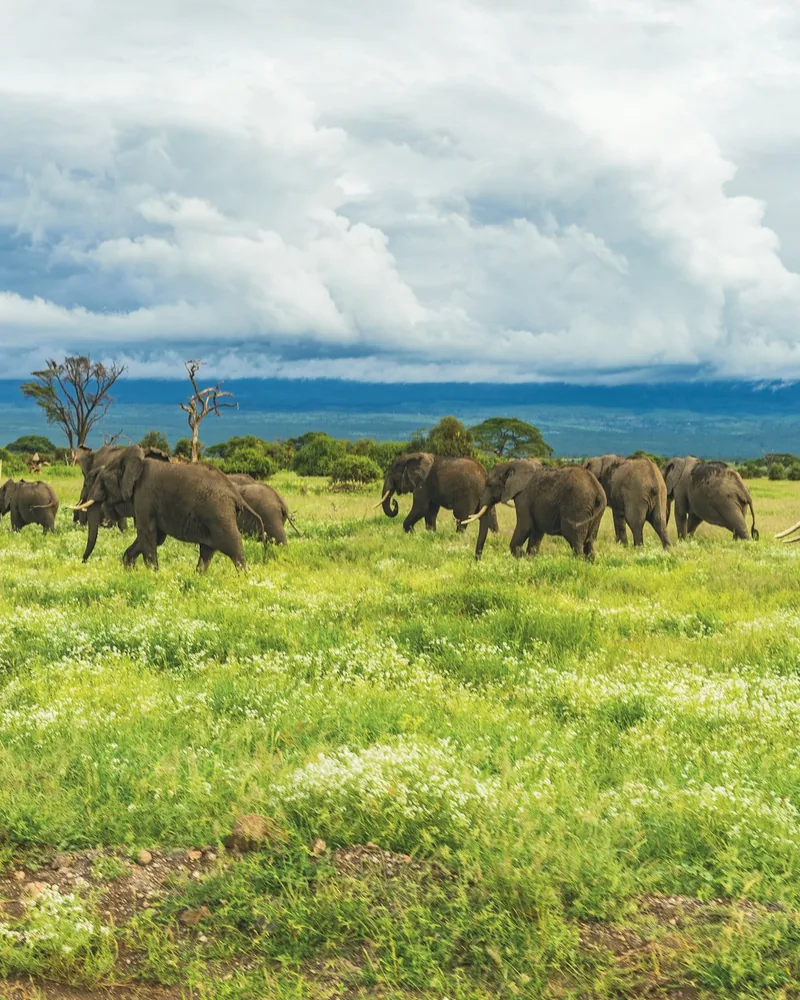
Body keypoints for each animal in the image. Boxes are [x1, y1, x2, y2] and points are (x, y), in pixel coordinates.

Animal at [77, 445, 264, 571]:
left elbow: (147, 533)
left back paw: (244, 578)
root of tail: (236, 495)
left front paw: (152, 574)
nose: (83, 562)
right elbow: (156, 537)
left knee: (234, 549)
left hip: (220, 514)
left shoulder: (144, 495)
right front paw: (130, 568)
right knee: (207, 552)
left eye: (102, 481)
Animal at [463, 462, 606, 559]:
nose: (478, 560)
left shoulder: (523, 497)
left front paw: (524, 557)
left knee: (575, 541)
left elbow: (525, 526)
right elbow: (537, 532)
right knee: (590, 542)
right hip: (595, 514)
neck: (512, 464)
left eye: (490, 484)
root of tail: (597, 490)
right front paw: (531, 559)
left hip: (577, 508)